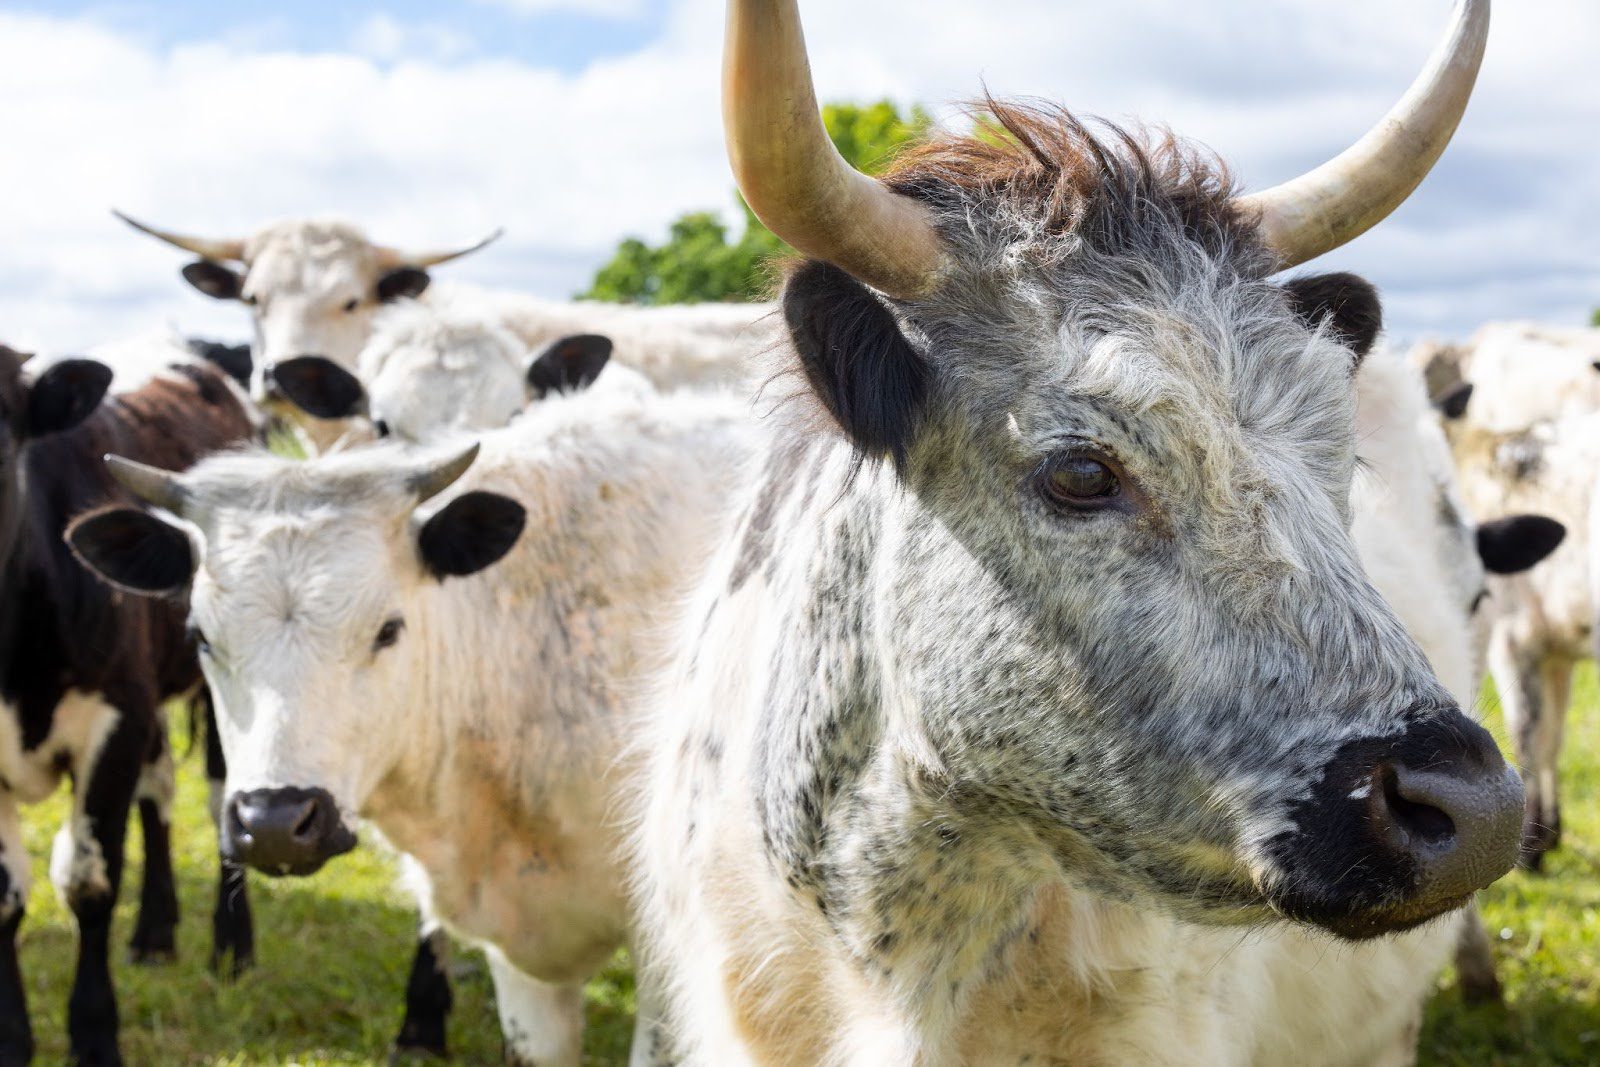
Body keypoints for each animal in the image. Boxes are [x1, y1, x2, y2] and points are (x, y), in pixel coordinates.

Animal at [0, 343, 253, 1066]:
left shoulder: (115, 720)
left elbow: (89, 883)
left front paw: (94, 1034)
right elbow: (6, 897)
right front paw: (12, 1036)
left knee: (221, 797)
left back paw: (233, 946)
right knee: (158, 791)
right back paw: (154, 932)